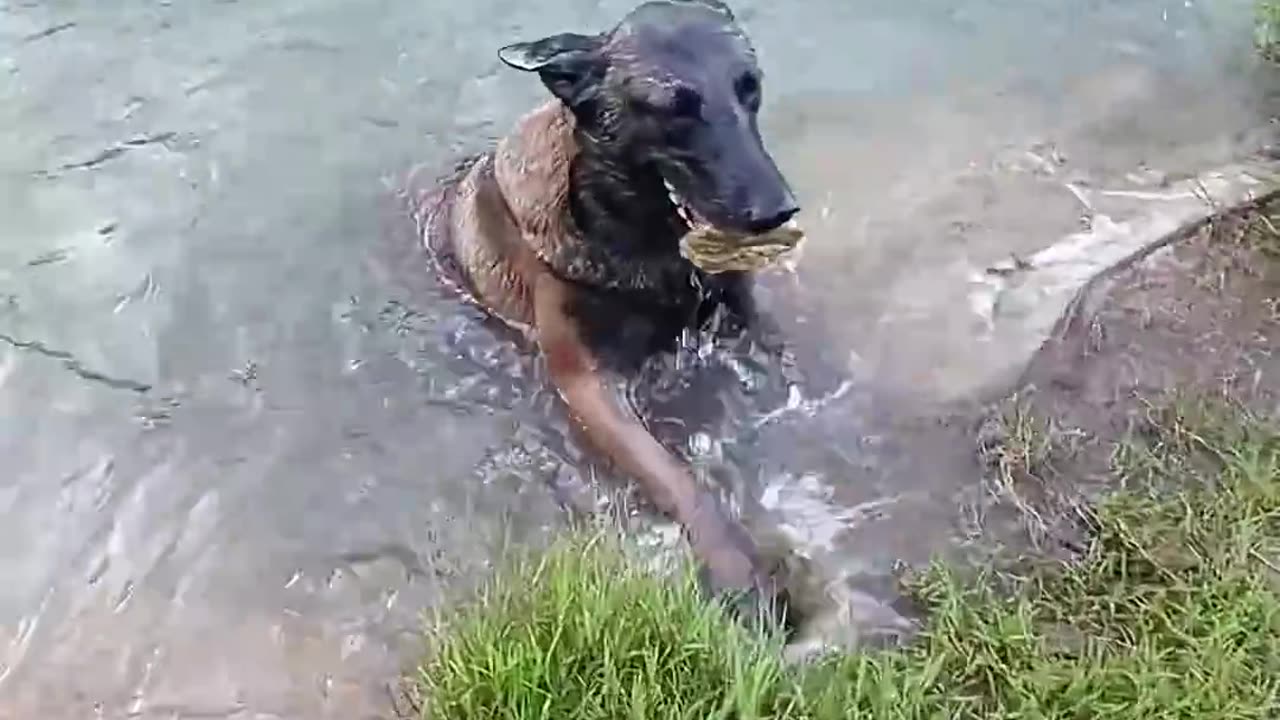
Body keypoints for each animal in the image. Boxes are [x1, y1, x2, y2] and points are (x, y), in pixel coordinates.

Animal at [404, 0, 798, 617]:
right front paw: (738, 568)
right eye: (674, 109)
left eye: (749, 88)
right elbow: (676, 476)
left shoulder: (744, 322)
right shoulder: (587, 383)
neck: (650, 248)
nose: (778, 211)